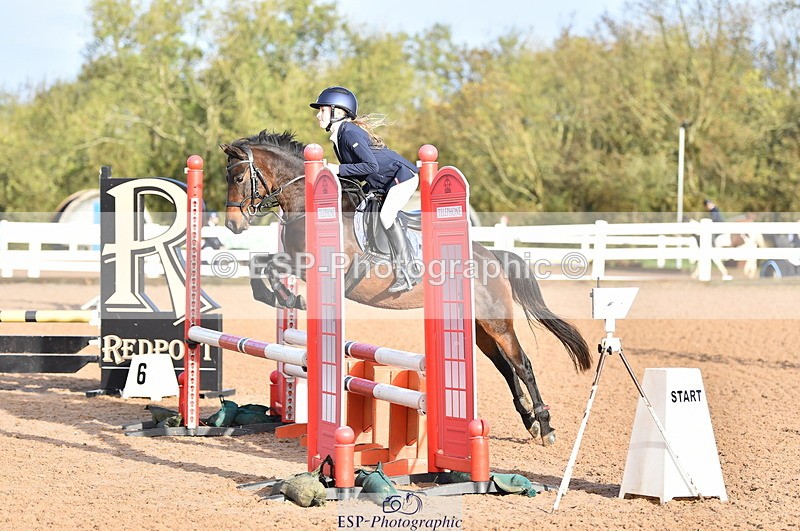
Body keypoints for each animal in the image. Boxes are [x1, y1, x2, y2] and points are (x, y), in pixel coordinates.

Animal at [219, 130, 592, 445]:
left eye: (238, 178)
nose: (233, 226)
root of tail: (493, 256)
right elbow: (260, 263)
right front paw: (281, 296)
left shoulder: (322, 266)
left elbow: (270, 266)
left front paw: (289, 296)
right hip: (476, 326)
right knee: (504, 367)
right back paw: (530, 422)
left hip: (496, 321)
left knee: (522, 365)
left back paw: (546, 427)